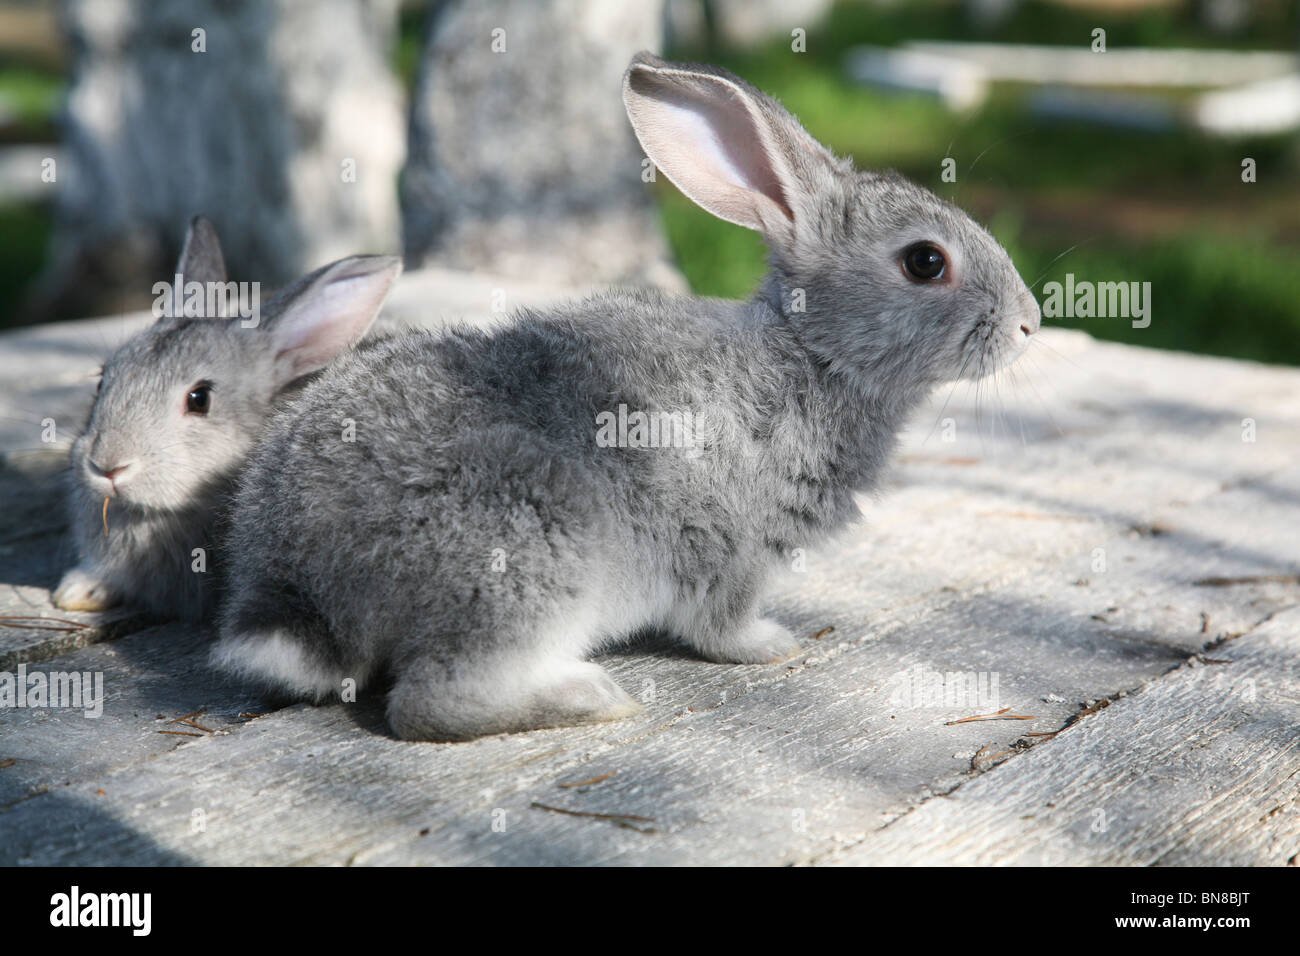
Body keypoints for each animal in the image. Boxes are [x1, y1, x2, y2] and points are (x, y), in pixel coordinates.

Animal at [211, 52, 1042, 740]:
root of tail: (301, 581)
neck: (813, 354)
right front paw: (771, 644)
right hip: (534, 560)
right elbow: (722, 620)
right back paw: (589, 697)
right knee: (432, 704)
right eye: (925, 262)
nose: (1030, 322)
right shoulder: (734, 545)